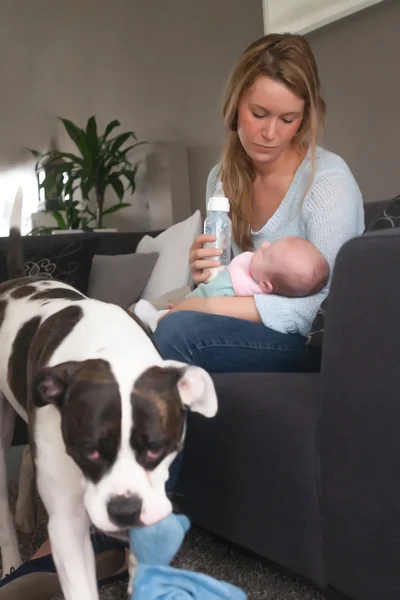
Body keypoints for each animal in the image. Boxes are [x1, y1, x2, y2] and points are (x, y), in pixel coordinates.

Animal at [0, 229, 219, 600]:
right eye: (88, 451)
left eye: (155, 449)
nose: (124, 510)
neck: (111, 350)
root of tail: (18, 278)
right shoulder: (67, 522)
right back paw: (13, 563)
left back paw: (25, 514)